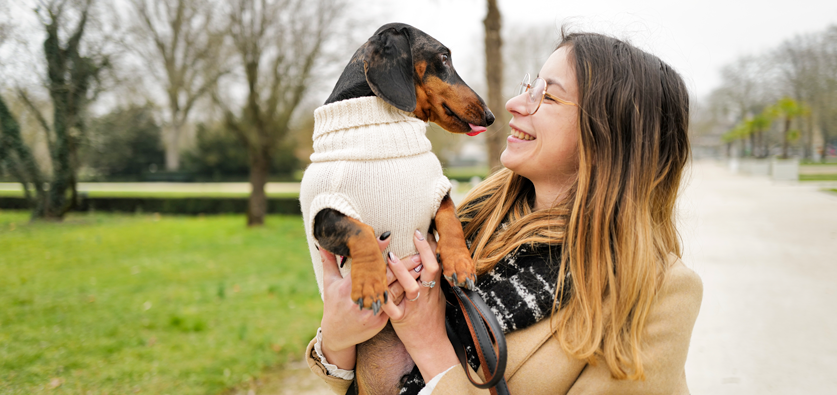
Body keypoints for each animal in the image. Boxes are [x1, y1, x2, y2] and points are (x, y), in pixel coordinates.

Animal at [300, 23, 494, 394]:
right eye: (444, 57)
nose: (490, 116)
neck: (383, 126)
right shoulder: (323, 213)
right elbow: (361, 230)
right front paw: (369, 283)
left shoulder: (437, 191)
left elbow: (450, 219)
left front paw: (459, 263)